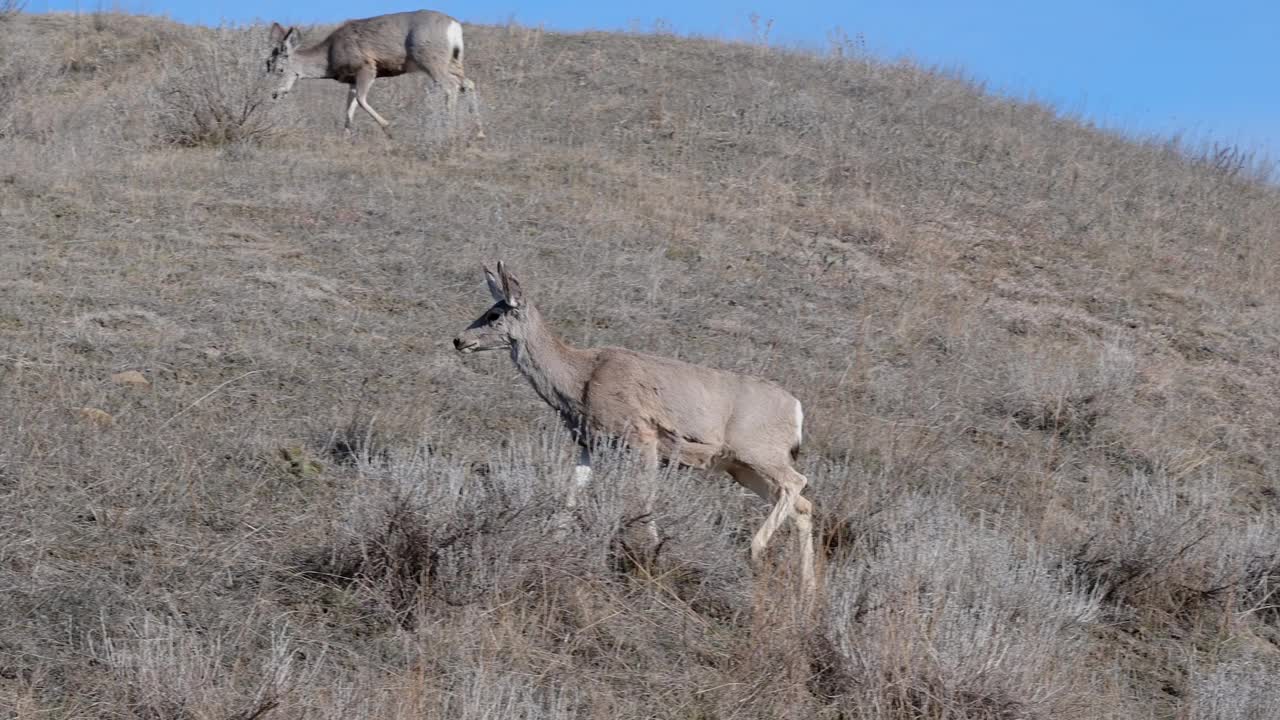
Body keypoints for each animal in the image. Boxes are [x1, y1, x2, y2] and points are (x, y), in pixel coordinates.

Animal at [264, 10, 483, 137]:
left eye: (280, 69)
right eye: (267, 65)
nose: (274, 93)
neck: (329, 56)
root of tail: (454, 26)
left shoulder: (367, 66)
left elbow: (361, 100)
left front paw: (388, 128)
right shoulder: (351, 79)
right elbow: (349, 106)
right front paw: (346, 135)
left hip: (430, 58)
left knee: (451, 86)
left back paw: (448, 129)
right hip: (453, 61)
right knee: (468, 83)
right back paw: (479, 132)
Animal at [455, 262, 814, 589]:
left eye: (494, 314)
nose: (458, 339)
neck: (579, 379)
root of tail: (797, 409)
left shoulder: (643, 435)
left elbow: (644, 499)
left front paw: (652, 556)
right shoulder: (590, 443)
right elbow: (572, 493)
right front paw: (554, 540)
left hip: (759, 452)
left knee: (797, 482)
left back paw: (756, 551)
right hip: (741, 468)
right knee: (802, 505)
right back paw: (807, 591)